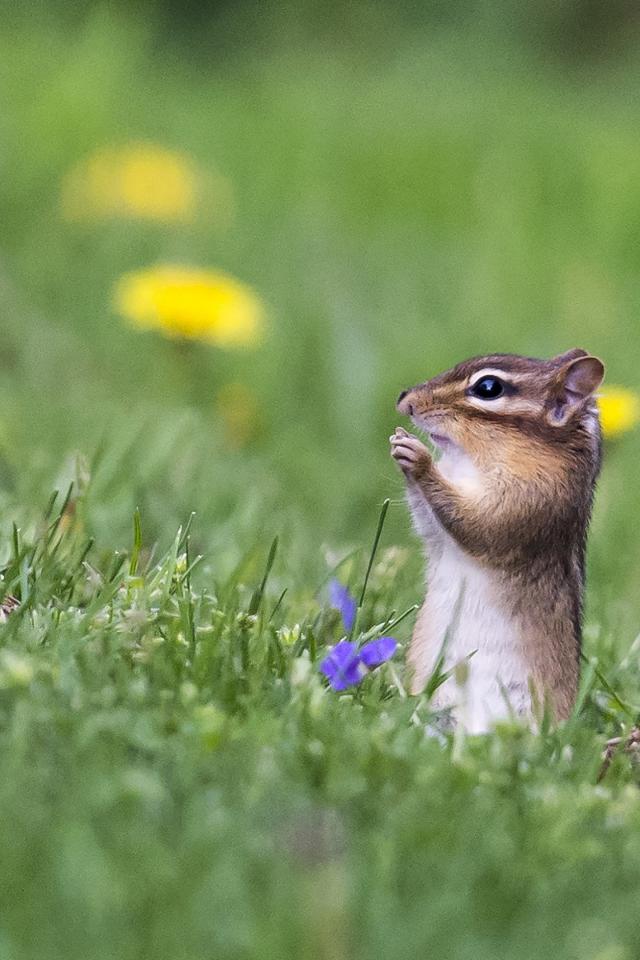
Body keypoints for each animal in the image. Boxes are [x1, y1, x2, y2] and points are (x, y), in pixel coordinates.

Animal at [390, 349, 604, 733]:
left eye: (488, 388)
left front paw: (421, 461)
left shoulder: (532, 499)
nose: (405, 400)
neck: (472, 462)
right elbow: (431, 527)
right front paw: (401, 449)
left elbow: (480, 525)